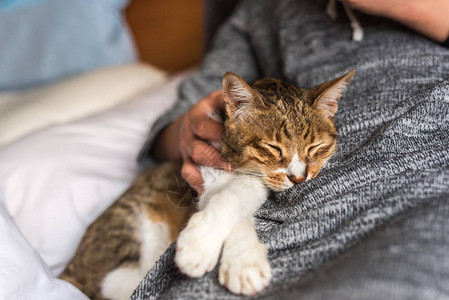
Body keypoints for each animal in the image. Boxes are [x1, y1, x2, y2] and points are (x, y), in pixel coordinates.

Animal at [59, 69, 354, 298]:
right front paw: (204, 248)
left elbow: (244, 194)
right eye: (273, 148)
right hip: (130, 227)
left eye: (315, 148)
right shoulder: (206, 175)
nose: (299, 177)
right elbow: (229, 198)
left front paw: (241, 261)